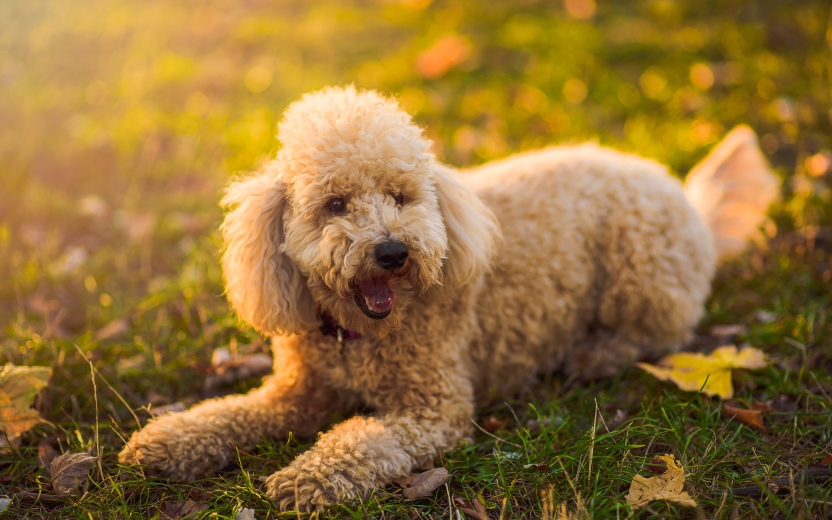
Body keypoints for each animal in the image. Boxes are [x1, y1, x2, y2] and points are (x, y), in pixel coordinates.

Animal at [118, 86, 780, 512]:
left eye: (401, 195)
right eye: (335, 204)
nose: (392, 251)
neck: (357, 336)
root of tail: (687, 198)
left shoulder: (433, 409)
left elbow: (363, 437)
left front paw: (309, 476)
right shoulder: (296, 393)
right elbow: (231, 412)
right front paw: (170, 441)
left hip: (640, 266)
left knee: (662, 331)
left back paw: (597, 353)